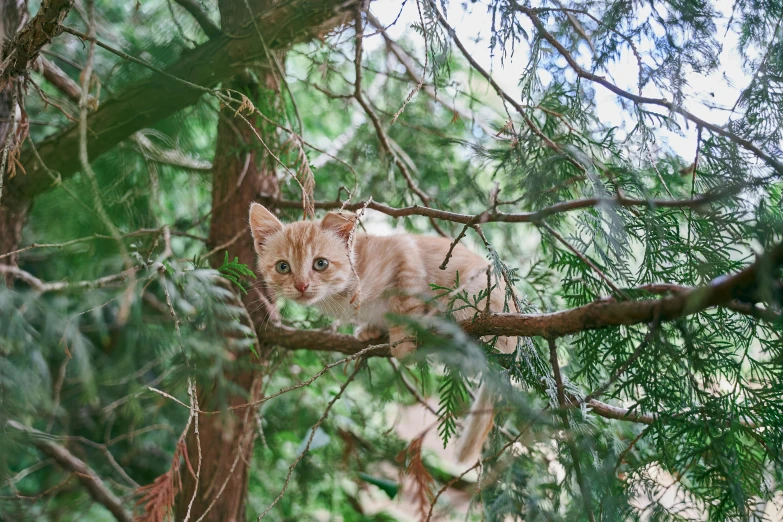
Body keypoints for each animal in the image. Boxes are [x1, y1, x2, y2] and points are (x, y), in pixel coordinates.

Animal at [248, 201, 516, 462]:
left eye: (320, 264)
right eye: (283, 267)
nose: (301, 286)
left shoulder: (404, 255)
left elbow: (404, 303)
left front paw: (403, 341)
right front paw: (370, 329)